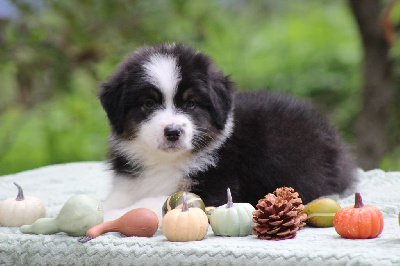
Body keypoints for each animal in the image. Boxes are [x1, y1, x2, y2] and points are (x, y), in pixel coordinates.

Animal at [99, 43, 356, 221]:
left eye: (191, 104)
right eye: (148, 103)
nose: (172, 132)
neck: (165, 160)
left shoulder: (218, 187)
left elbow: (152, 202)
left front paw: (111, 216)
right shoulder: (129, 182)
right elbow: (114, 199)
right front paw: (107, 208)